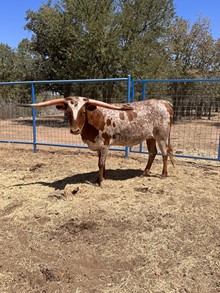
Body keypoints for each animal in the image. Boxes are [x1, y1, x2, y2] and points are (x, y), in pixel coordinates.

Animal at [21, 97, 175, 186]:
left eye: (83, 112)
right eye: (68, 112)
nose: (75, 130)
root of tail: (164, 102)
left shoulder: (105, 144)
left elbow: (101, 163)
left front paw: (100, 182)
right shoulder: (98, 145)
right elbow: (100, 163)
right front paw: (101, 178)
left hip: (161, 136)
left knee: (164, 153)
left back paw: (164, 174)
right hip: (150, 137)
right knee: (152, 153)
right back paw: (145, 172)